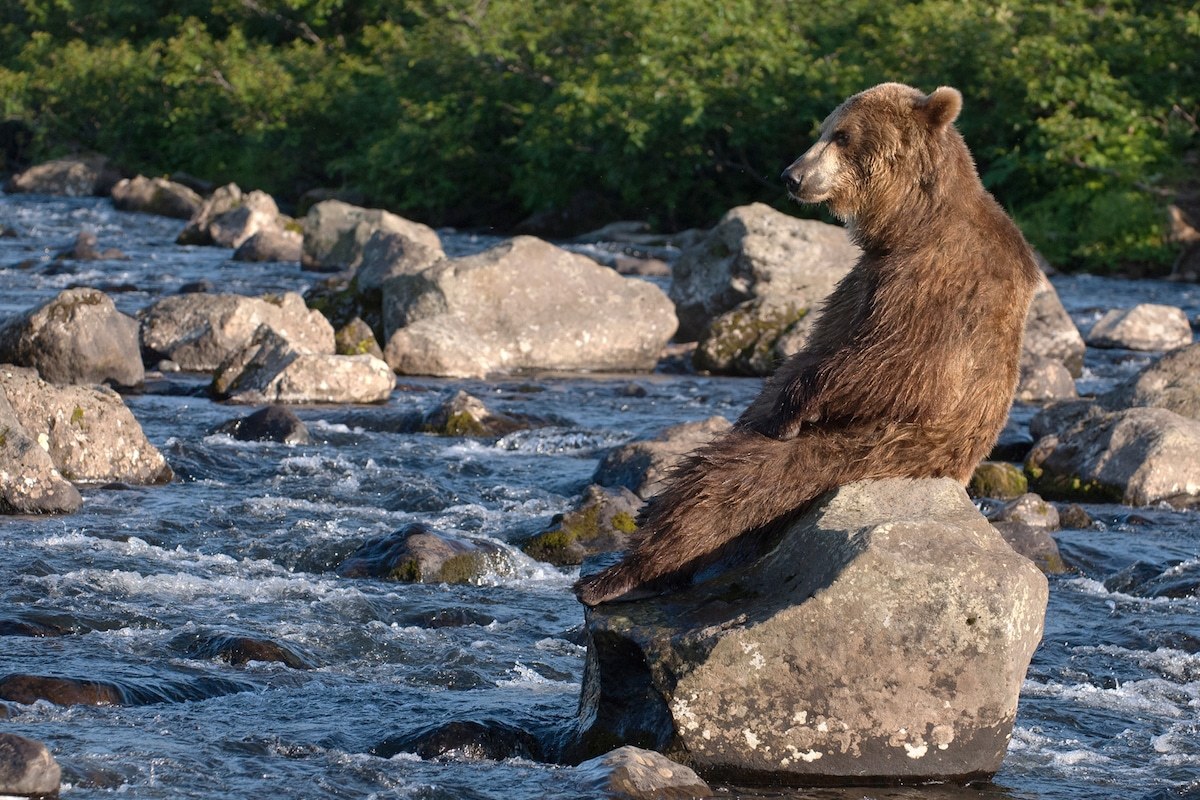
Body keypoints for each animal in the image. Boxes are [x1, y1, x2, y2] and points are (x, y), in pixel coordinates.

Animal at [571, 81, 1041, 606]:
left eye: (842, 135)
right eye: (824, 129)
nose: (791, 175)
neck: (908, 223)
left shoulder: (936, 282)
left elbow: (898, 365)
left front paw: (794, 407)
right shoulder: (864, 281)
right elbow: (808, 354)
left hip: (873, 451)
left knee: (734, 483)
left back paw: (620, 575)